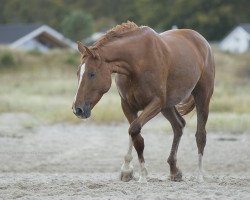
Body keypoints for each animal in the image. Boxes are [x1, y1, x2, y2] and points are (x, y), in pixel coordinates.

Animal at [72, 21, 215, 183]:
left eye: (92, 74)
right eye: (78, 73)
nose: (77, 109)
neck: (136, 63)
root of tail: (202, 41)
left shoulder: (156, 103)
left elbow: (134, 130)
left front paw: (140, 173)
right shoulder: (127, 105)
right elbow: (136, 136)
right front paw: (128, 171)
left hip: (202, 97)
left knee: (200, 135)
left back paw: (199, 175)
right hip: (168, 106)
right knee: (178, 126)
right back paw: (174, 170)